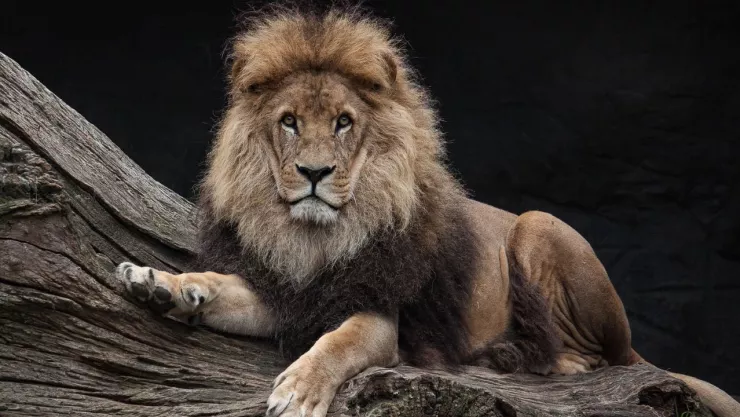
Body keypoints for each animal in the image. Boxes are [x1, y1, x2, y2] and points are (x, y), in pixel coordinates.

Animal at [115, 5, 740, 417]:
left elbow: (338, 344)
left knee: (597, 360)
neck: (316, 238)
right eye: (289, 121)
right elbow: (221, 285)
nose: (314, 173)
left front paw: (298, 390)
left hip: (538, 228)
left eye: (344, 122)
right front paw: (161, 284)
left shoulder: (379, 315)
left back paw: (514, 357)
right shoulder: (291, 294)